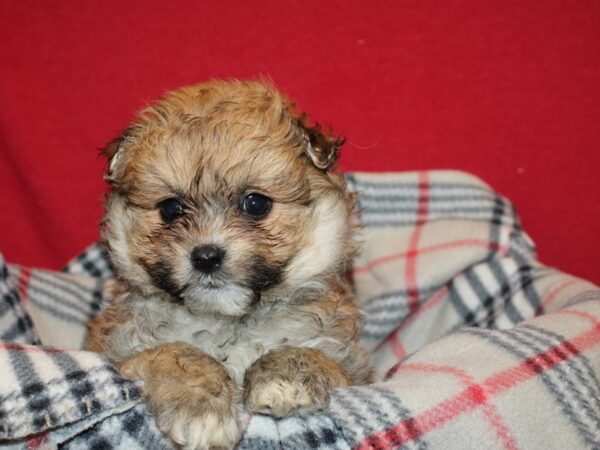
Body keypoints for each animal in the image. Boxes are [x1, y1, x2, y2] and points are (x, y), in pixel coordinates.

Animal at [86, 79, 372, 448]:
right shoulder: (120, 353)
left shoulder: (352, 367)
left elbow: (309, 354)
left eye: (255, 203)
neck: (229, 322)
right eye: (170, 209)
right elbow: (171, 354)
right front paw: (201, 409)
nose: (206, 256)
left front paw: (284, 380)